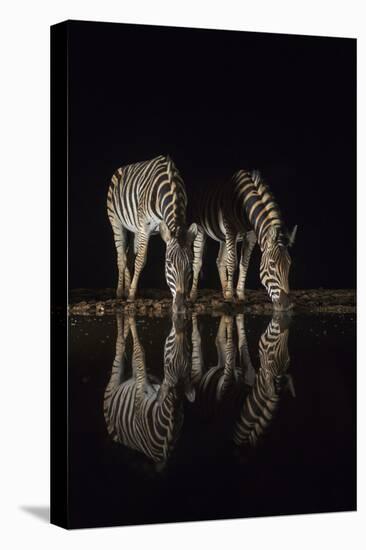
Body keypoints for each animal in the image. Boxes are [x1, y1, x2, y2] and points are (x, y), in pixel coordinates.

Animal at [103, 316, 194, 468]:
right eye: (189, 350)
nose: (182, 322)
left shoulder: (140, 391)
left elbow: (139, 351)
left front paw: (130, 317)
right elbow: (138, 353)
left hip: (113, 384)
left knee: (120, 346)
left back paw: (124, 321)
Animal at [107, 155, 199, 314]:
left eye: (190, 263)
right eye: (168, 263)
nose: (180, 307)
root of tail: (119, 169)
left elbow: (136, 259)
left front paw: (131, 290)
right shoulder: (145, 228)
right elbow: (141, 260)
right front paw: (131, 295)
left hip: (134, 228)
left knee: (129, 256)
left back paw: (127, 288)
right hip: (117, 222)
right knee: (121, 258)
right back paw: (120, 292)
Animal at [190, 170, 296, 312]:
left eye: (289, 264)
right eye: (272, 265)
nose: (286, 305)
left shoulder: (251, 235)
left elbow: (244, 264)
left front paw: (239, 294)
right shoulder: (231, 229)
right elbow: (232, 263)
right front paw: (230, 296)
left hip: (223, 236)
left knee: (219, 261)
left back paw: (224, 292)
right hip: (200, 228)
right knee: (197, 262)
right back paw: (193, 295)